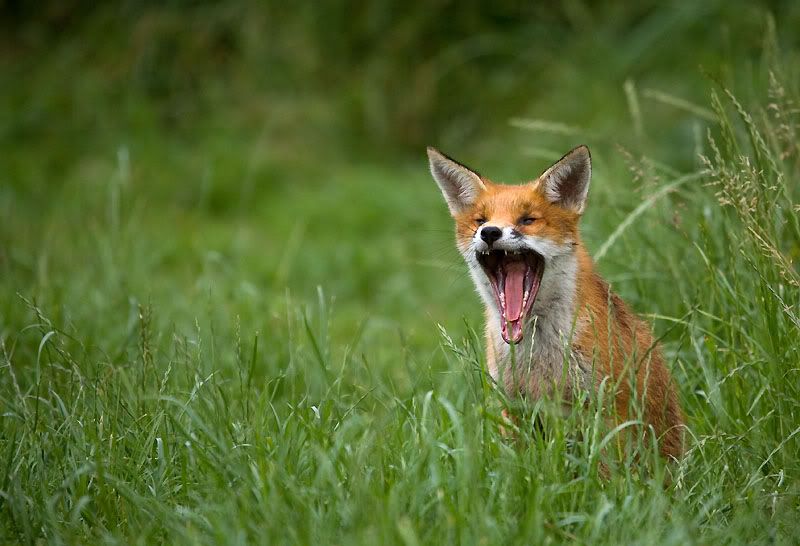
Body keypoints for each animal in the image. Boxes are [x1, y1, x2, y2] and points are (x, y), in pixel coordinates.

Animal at [427, 145, 684, 460]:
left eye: (527, 220)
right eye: (480, 220)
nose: (489, 232)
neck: (537, 353)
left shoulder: (608, 407)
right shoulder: (514, 408)